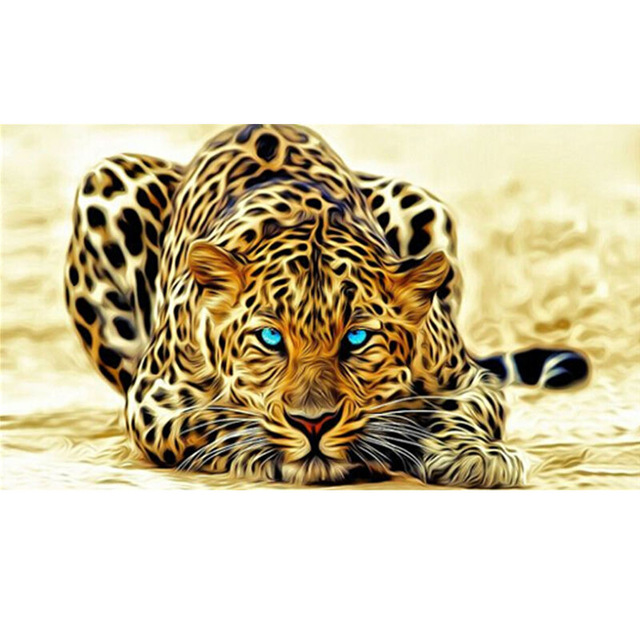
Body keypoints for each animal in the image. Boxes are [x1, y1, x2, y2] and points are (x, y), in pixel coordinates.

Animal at [64, 124, 589, 487]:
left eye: (357, 338)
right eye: (270, 338)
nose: (313, 423)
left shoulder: (467, 378)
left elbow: (456, 410)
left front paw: (473, 455)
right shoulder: (153, 398)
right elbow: (211, 420)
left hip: (421, 202)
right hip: (107, 183)